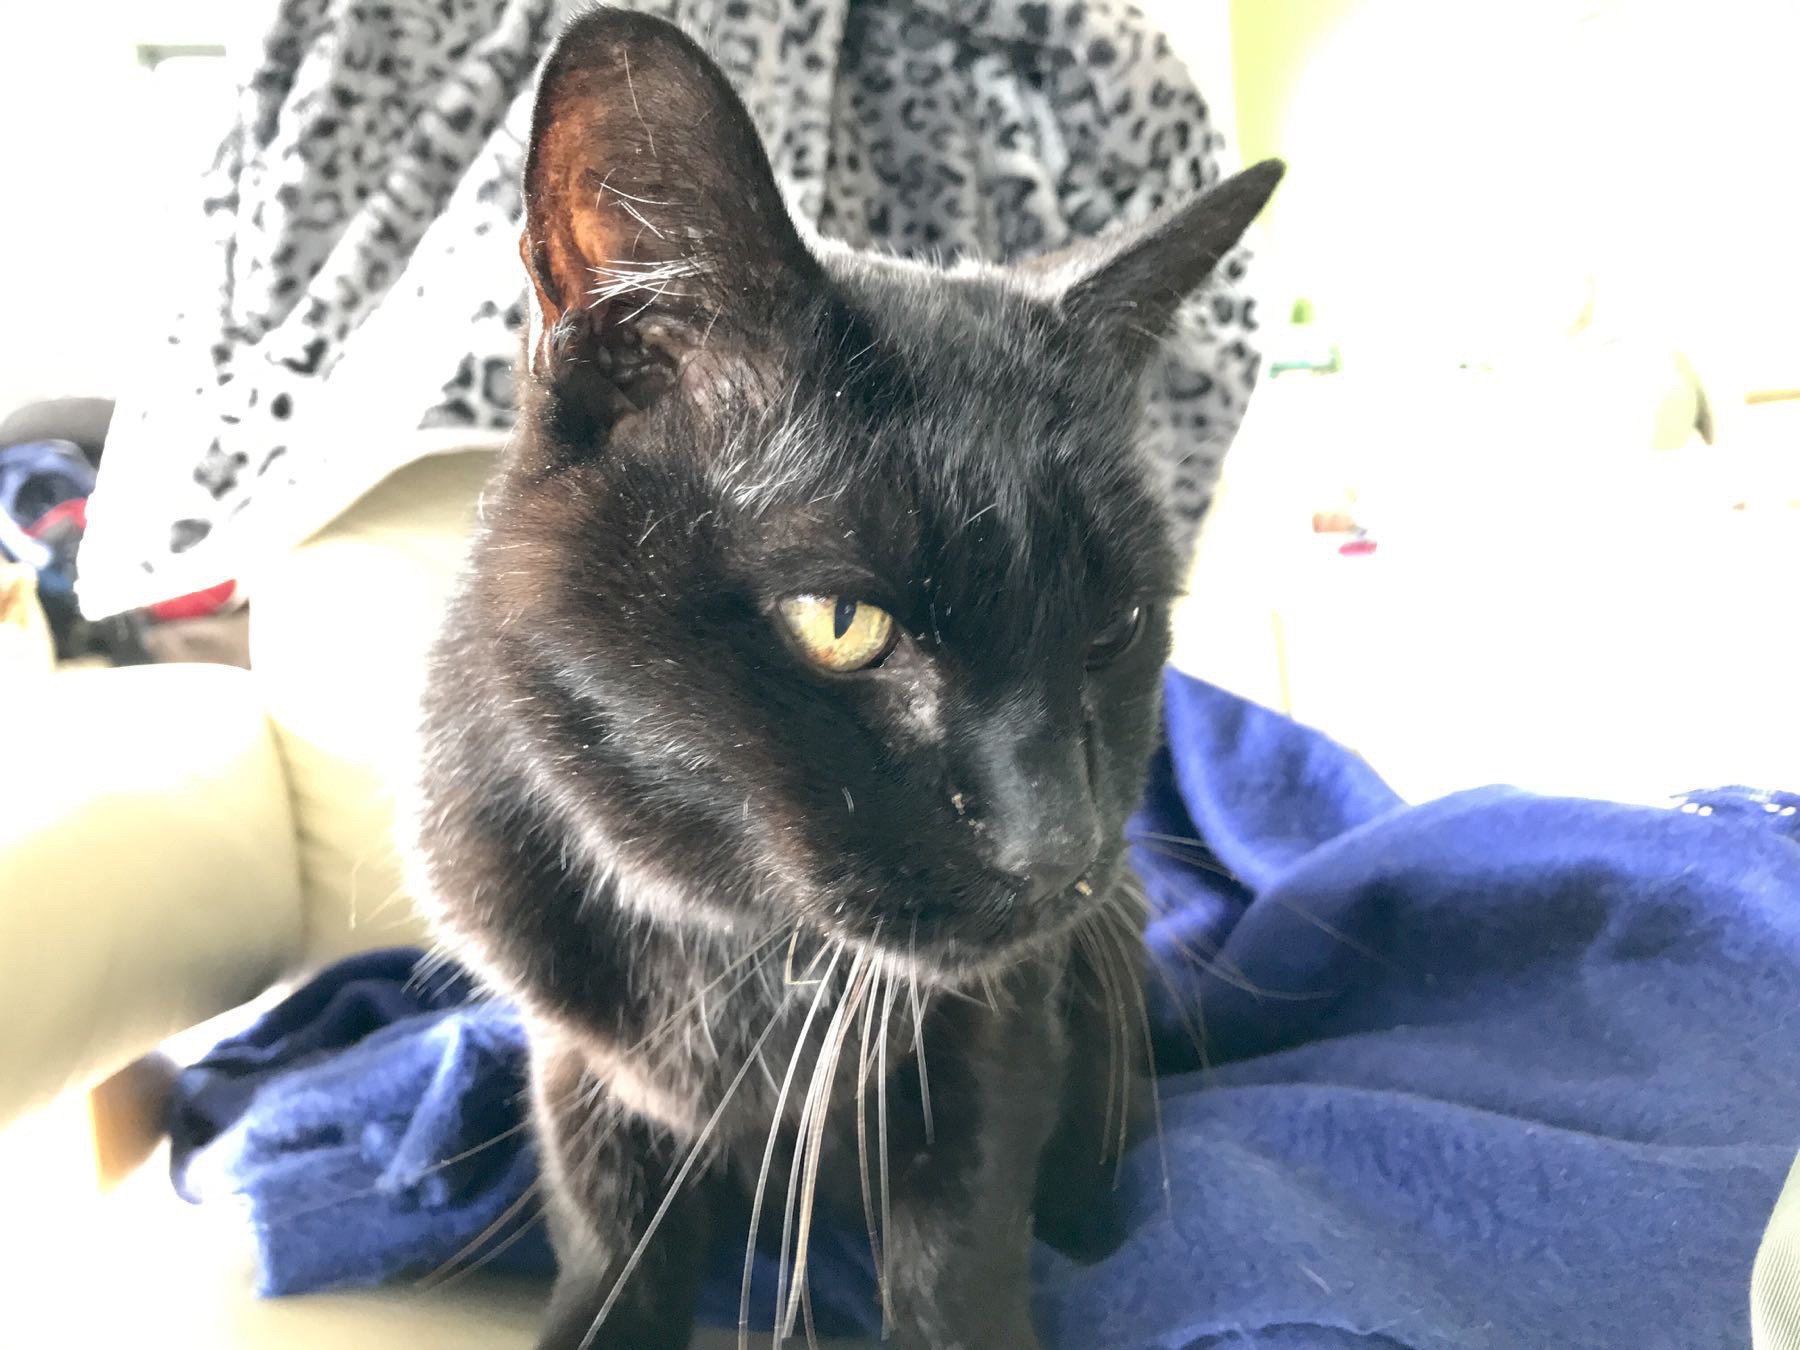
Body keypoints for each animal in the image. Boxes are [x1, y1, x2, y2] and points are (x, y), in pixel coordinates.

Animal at [410, 13, 1281, 1350]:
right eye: (841, 625)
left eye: (1116, 626)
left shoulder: (989, 1031)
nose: (1058, 849)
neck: (732, 941)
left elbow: (958, 1260)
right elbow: (607, 1235)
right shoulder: (575, 1067)